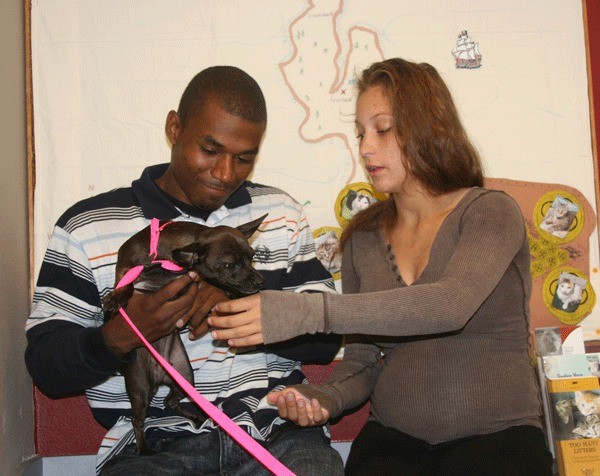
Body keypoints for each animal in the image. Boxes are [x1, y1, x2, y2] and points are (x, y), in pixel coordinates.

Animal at [102, 215, 266, 454]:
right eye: (229, 264)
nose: (261, 281)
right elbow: (126, 282)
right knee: (137, 419)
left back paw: (195, 417)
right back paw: (143, 448)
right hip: (140, 387)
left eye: (252, 257)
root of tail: (158, 377)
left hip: (184, 375)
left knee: (169, 402)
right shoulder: (126, 264)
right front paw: (117, 297)